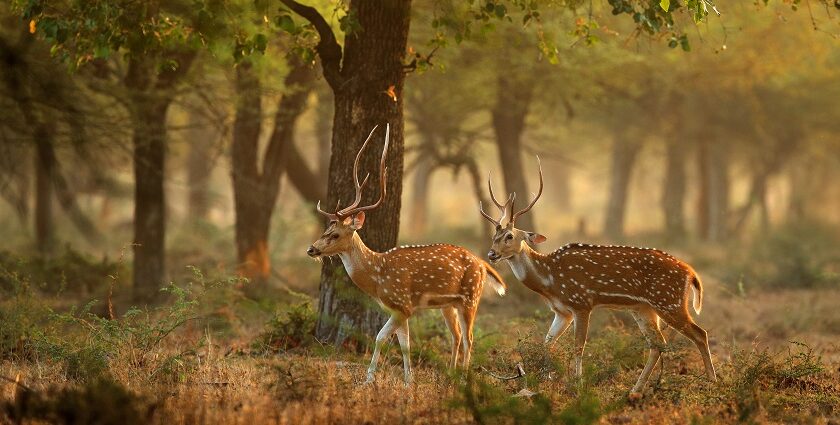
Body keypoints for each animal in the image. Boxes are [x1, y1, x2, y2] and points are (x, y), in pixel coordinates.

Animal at [308, 123, 506, 384]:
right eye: (326, 229)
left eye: (336, 234)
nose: (311, 249)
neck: (377, 276)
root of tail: (483, 263)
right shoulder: (398, 309)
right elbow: (405, 345)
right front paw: (408, 381)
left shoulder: (403, 304)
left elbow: (381, 337)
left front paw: (369, 379)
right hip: (449, 304)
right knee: (457, 336)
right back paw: (451, 374)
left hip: (471, 297)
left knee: (469, 337)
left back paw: (463, 377)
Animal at [480, 157, 716, 396]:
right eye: (494, 236)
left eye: (510, 236)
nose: (491, 254)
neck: (550, 280)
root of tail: (691, 273)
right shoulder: (562, 311)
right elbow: (547, 342)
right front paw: (546, 380)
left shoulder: (581, 303)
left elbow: (578, 346)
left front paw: (577, 384)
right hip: (644, 308)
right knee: (657, 344)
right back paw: (635, 390)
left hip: (668, 301)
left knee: (700, 334)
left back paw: (712, 383)